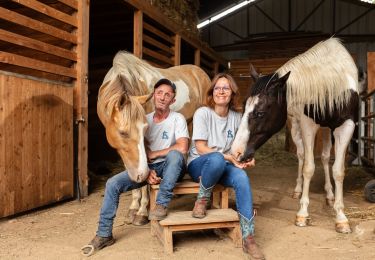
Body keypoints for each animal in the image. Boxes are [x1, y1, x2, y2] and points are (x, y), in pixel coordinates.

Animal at [97, 51, 210, 225]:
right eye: (123, 133)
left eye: (145, 129)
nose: (141, 174)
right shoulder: (121, 149)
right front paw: (132, 209)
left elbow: (145, 180)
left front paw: (142, 213)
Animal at [234, 38, 360, 234]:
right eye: (244, 106)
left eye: (261, 113)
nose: (236, 152)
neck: (332, 85)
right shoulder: (307, 124)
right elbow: (308, 167)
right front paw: (302, 213)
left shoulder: (347, 126)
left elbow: (338, 170)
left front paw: (341, 217)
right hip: (296, 126)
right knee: (301, 156)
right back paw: (298, 190)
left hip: (326, 129)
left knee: (325, 158)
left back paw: (329, 194)